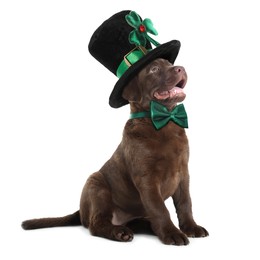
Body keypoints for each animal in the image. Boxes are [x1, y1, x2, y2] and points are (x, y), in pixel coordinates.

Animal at [21, 58, 208, 245]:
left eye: (170, 63)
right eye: (154, 69)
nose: (181, 68)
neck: (164, 122)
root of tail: (81, 212)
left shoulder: (183, 173)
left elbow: (185, 203)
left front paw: (191, 227)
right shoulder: (147, 178)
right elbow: (160, 208)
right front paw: (172, 233)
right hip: (97, 185)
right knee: (97, 224)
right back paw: (120, 232)